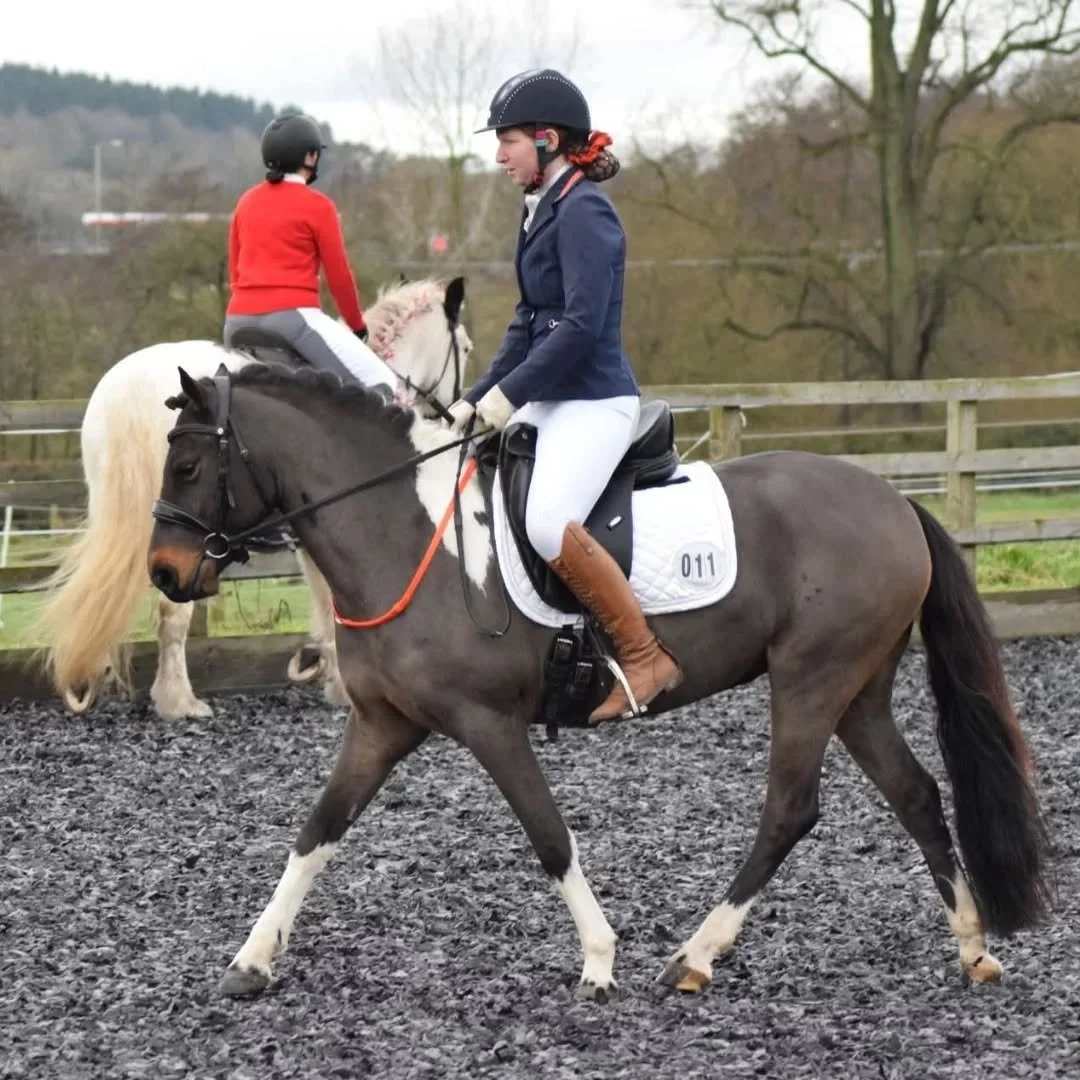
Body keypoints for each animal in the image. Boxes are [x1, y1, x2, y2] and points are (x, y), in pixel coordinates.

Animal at [146, 362, 1054, 1001]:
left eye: (187, 464)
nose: (164, 573)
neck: (401, 534)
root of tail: (894, 502)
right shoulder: (381, 724)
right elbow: (317, 832)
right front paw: (250, 962)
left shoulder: (488, 723)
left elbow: (549, 836)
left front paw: (598, 961)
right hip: (855, 690)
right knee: (915, 794)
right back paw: (972, 947)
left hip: (811, 679)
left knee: (791, 810)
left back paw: (694, 957)